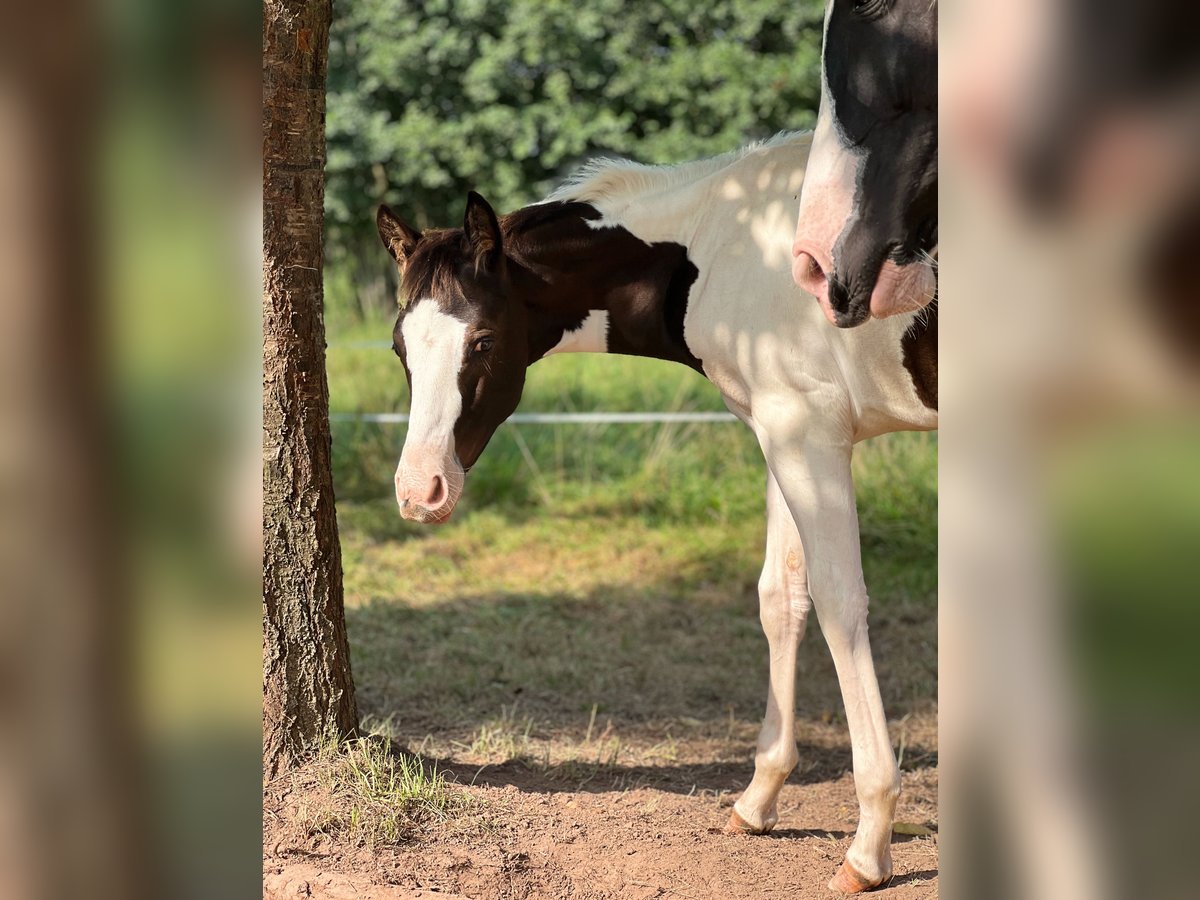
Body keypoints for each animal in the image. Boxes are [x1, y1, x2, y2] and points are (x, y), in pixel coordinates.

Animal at [374, 132, 936, 897]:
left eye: (484, 341)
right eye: (400, 348)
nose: (418, 491)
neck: (730, 244)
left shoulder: (810, 438)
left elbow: (839, 604)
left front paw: (870, 843)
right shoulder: (782, 434)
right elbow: (781, 597)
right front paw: (758, 799)